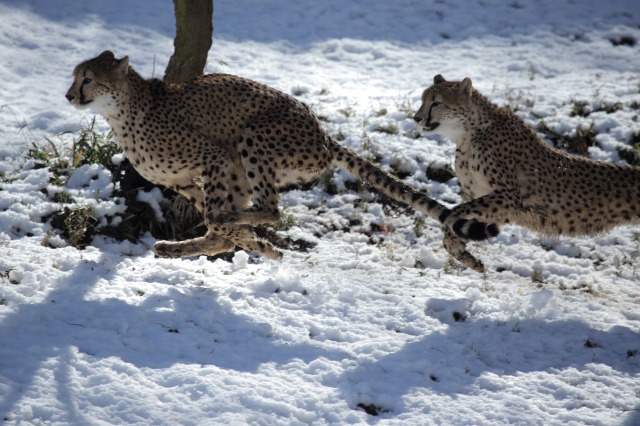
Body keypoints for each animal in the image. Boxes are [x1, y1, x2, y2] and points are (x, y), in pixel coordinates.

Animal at [65, 51, 498, 266]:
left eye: (88, 79)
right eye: (75, 76)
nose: (69, 95)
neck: (125, 110)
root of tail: (321, 131)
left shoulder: (214, 155)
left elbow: (220, 220)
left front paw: (256, 240)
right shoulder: (190, 181)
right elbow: (219, 229)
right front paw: (256, 243)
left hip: (252, 138)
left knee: (270, 208)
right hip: (242, 166)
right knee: (240, 218)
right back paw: (185, 247)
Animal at [412, 73, 636, 272]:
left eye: (436, 103)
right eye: (423, 100)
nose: (417, 118)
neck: (467, 133)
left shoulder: (509, 196)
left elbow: (455, 213)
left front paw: (454, 240)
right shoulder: (493, 202)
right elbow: (462, 219)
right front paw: (463, 253)